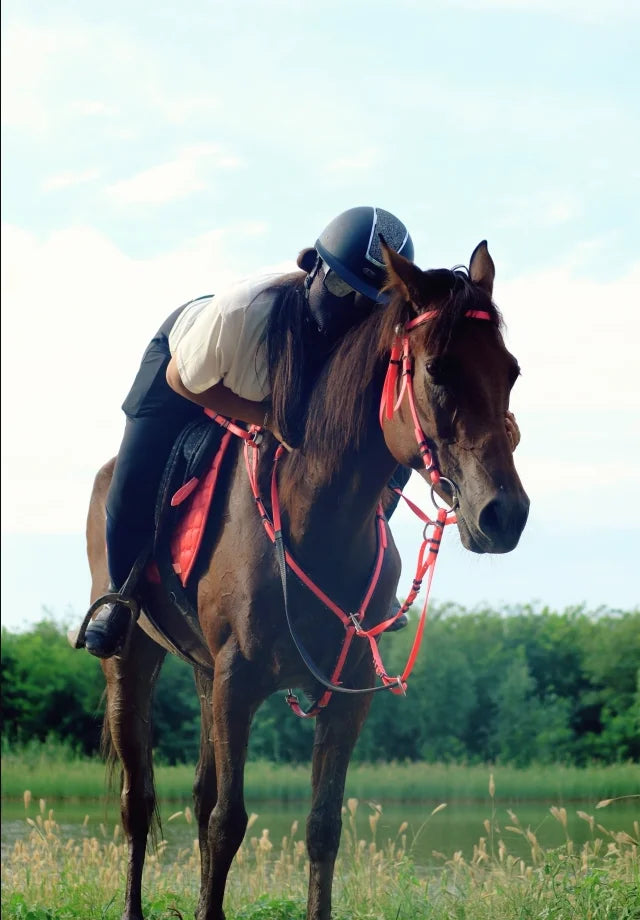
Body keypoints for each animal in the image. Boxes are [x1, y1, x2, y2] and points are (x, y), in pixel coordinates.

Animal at [87, 240, 529, 920]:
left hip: (203, 673)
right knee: (139, 803)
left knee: (196, 797)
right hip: (131, 660)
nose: (504, 514)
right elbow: (229, 823)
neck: (315, 520)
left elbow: (321, 827)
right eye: (437, 371)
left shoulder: (344, 696)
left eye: (511, 371)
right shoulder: (239, 684)